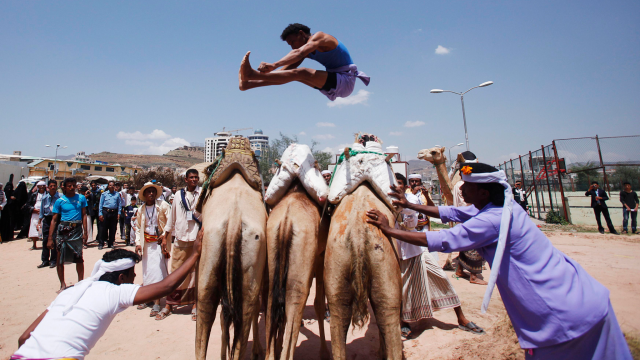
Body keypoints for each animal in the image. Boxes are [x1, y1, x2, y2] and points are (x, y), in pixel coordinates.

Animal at [262, 144, 330, 360]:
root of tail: (286, 222)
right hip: (300, 269)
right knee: (295, 301)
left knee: (273, 303)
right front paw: (324, 352)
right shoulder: (319, 257)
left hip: (273, 253)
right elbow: (318, 304)